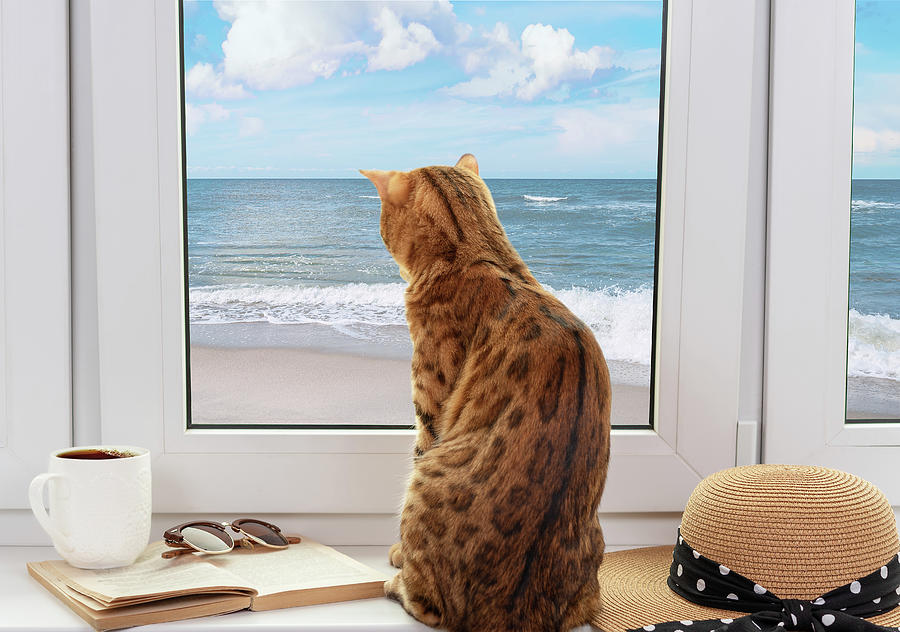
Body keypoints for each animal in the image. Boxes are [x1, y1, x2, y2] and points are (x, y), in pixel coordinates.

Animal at [360, 153, 612, 632]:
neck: (483, 256)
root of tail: (511, 616)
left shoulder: (429, 409)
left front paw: (397, 555)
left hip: (428, 478)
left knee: (428, 604)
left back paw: (394, 582)